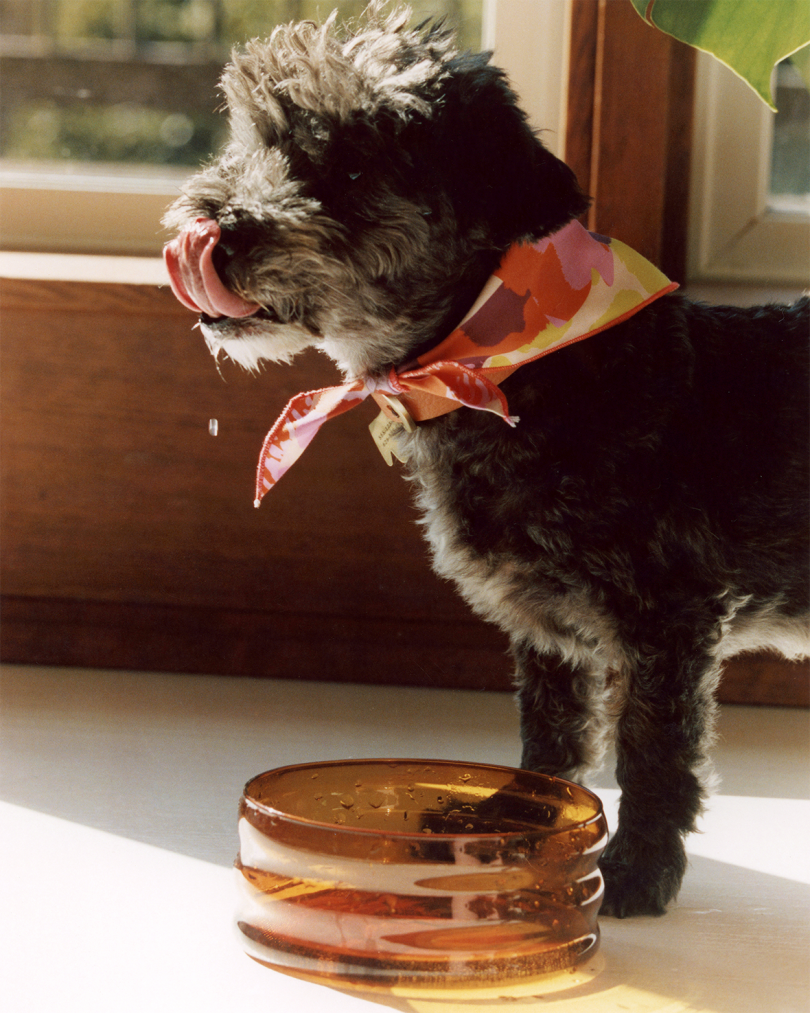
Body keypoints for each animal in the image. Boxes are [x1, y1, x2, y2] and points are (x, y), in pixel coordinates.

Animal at [163, 1, 810, 919]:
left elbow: (653, 755)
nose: (210, 230)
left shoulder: (668, 620)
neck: (516, 366)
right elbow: (552, 732)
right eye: (251, 138)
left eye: (353, 167)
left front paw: (639, 871)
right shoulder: (546, 626)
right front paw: (517, 820)